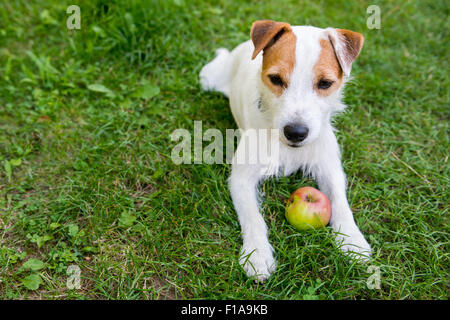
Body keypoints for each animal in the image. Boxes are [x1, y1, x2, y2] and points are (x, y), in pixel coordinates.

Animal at [200, 20, 372, 280]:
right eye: (275, 78)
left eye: (325, 83)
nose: (296, 132)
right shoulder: (241, 178)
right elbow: (253, 217)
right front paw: (257, 254)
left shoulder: (329, 168)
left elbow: (340, 202)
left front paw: (352, 240)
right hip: (209, 78)